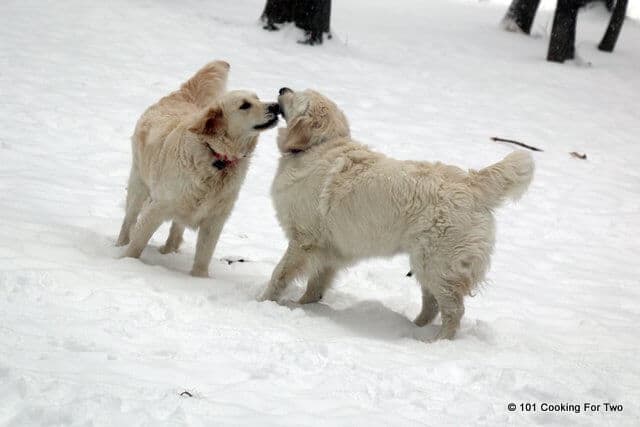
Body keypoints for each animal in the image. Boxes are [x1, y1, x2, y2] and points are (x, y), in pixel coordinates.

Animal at [116, 61, 278, 280]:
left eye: (257, 98)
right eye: (245, 105)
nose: (276, 106)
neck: (216, 158)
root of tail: (180, 96)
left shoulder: (215, 219)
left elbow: (204, 255)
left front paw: (199, 279)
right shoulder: (158, 207)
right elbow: (137, 243)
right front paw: (127, 263)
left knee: (176, 229)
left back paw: (168, 251)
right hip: (139, 186)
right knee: (129, 220)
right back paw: (120, 244)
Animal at [260, 88, 536, 342]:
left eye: (298, 95)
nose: (282, 88)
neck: (317, 146)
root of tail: (472, 183)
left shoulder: (304, 241)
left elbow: (279, 275)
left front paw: (263, 301)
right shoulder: (329, 248)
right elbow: (315, 285)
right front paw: (304, 306)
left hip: (438, 264)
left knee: (453, 310)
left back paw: (435, 342)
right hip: (426, 263)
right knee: (432, 305)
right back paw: (411, 330)